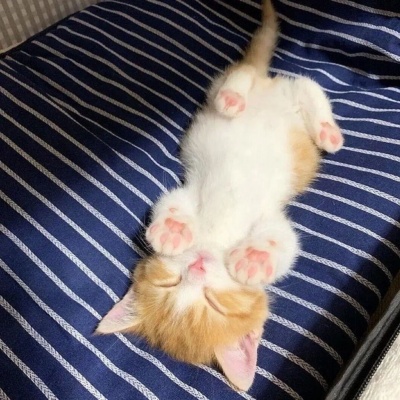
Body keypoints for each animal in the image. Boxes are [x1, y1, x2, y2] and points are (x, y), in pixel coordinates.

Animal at [96, 0, 343, 391]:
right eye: (170, 283)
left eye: (215, 303)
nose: (198, 265)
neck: (216, 236)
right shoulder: (190, 191)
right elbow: (172, 204)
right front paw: (173, 230)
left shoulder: (269, 216)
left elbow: (284, 241)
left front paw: (254, 259)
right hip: (242, 99)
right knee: (269, 79)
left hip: (263, 101)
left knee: (298, 83)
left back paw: (320, 129)